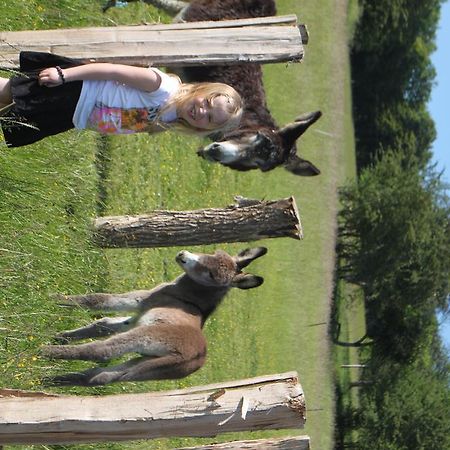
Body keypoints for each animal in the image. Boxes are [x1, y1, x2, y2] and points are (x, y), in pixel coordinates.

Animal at [43, 248, 266, 384]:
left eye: (211, 275)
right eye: (212, 252)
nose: (182, 255)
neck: (187, 297)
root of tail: (196, 357)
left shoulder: (142, 300)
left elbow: (96, 300)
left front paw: (52, 298)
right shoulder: (134, 319)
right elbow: (102, 324)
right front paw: (59, 336)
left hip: (145, 337)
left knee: (99, 351)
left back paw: (43, 351)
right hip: (146, 366)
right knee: (101, 377)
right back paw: (49, 381)